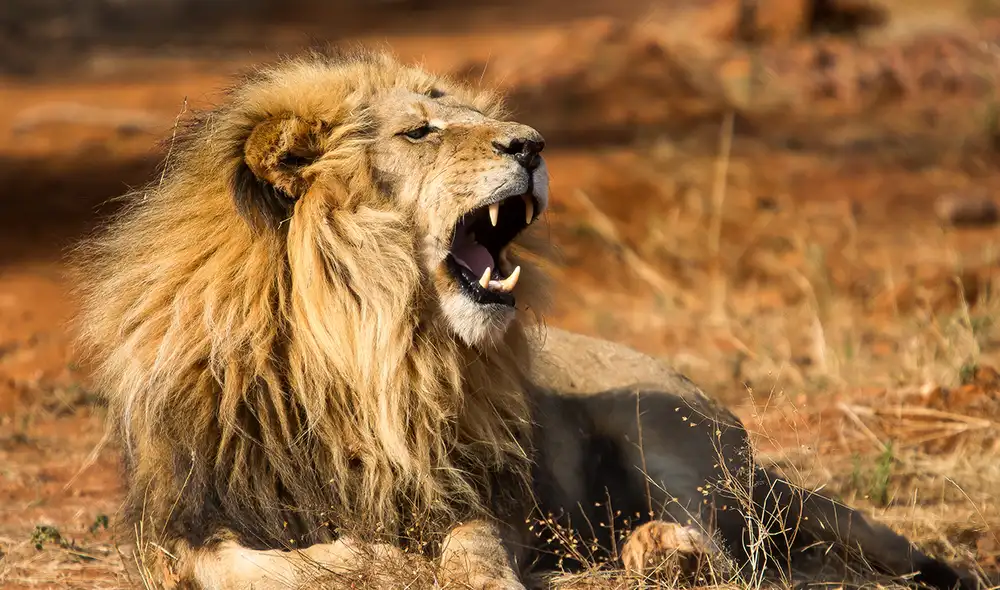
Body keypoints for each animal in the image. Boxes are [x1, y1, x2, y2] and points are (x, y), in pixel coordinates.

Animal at [73, 47, 977, 590]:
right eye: (419, 130)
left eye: (476, 117)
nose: (534, 145)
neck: (363, 354)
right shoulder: (186, 519)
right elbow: (249, 564)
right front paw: (369, 556)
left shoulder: (478, 491)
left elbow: (471, 544)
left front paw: (463, 572)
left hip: (662, 423)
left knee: (726, 544)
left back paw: (658, 552)